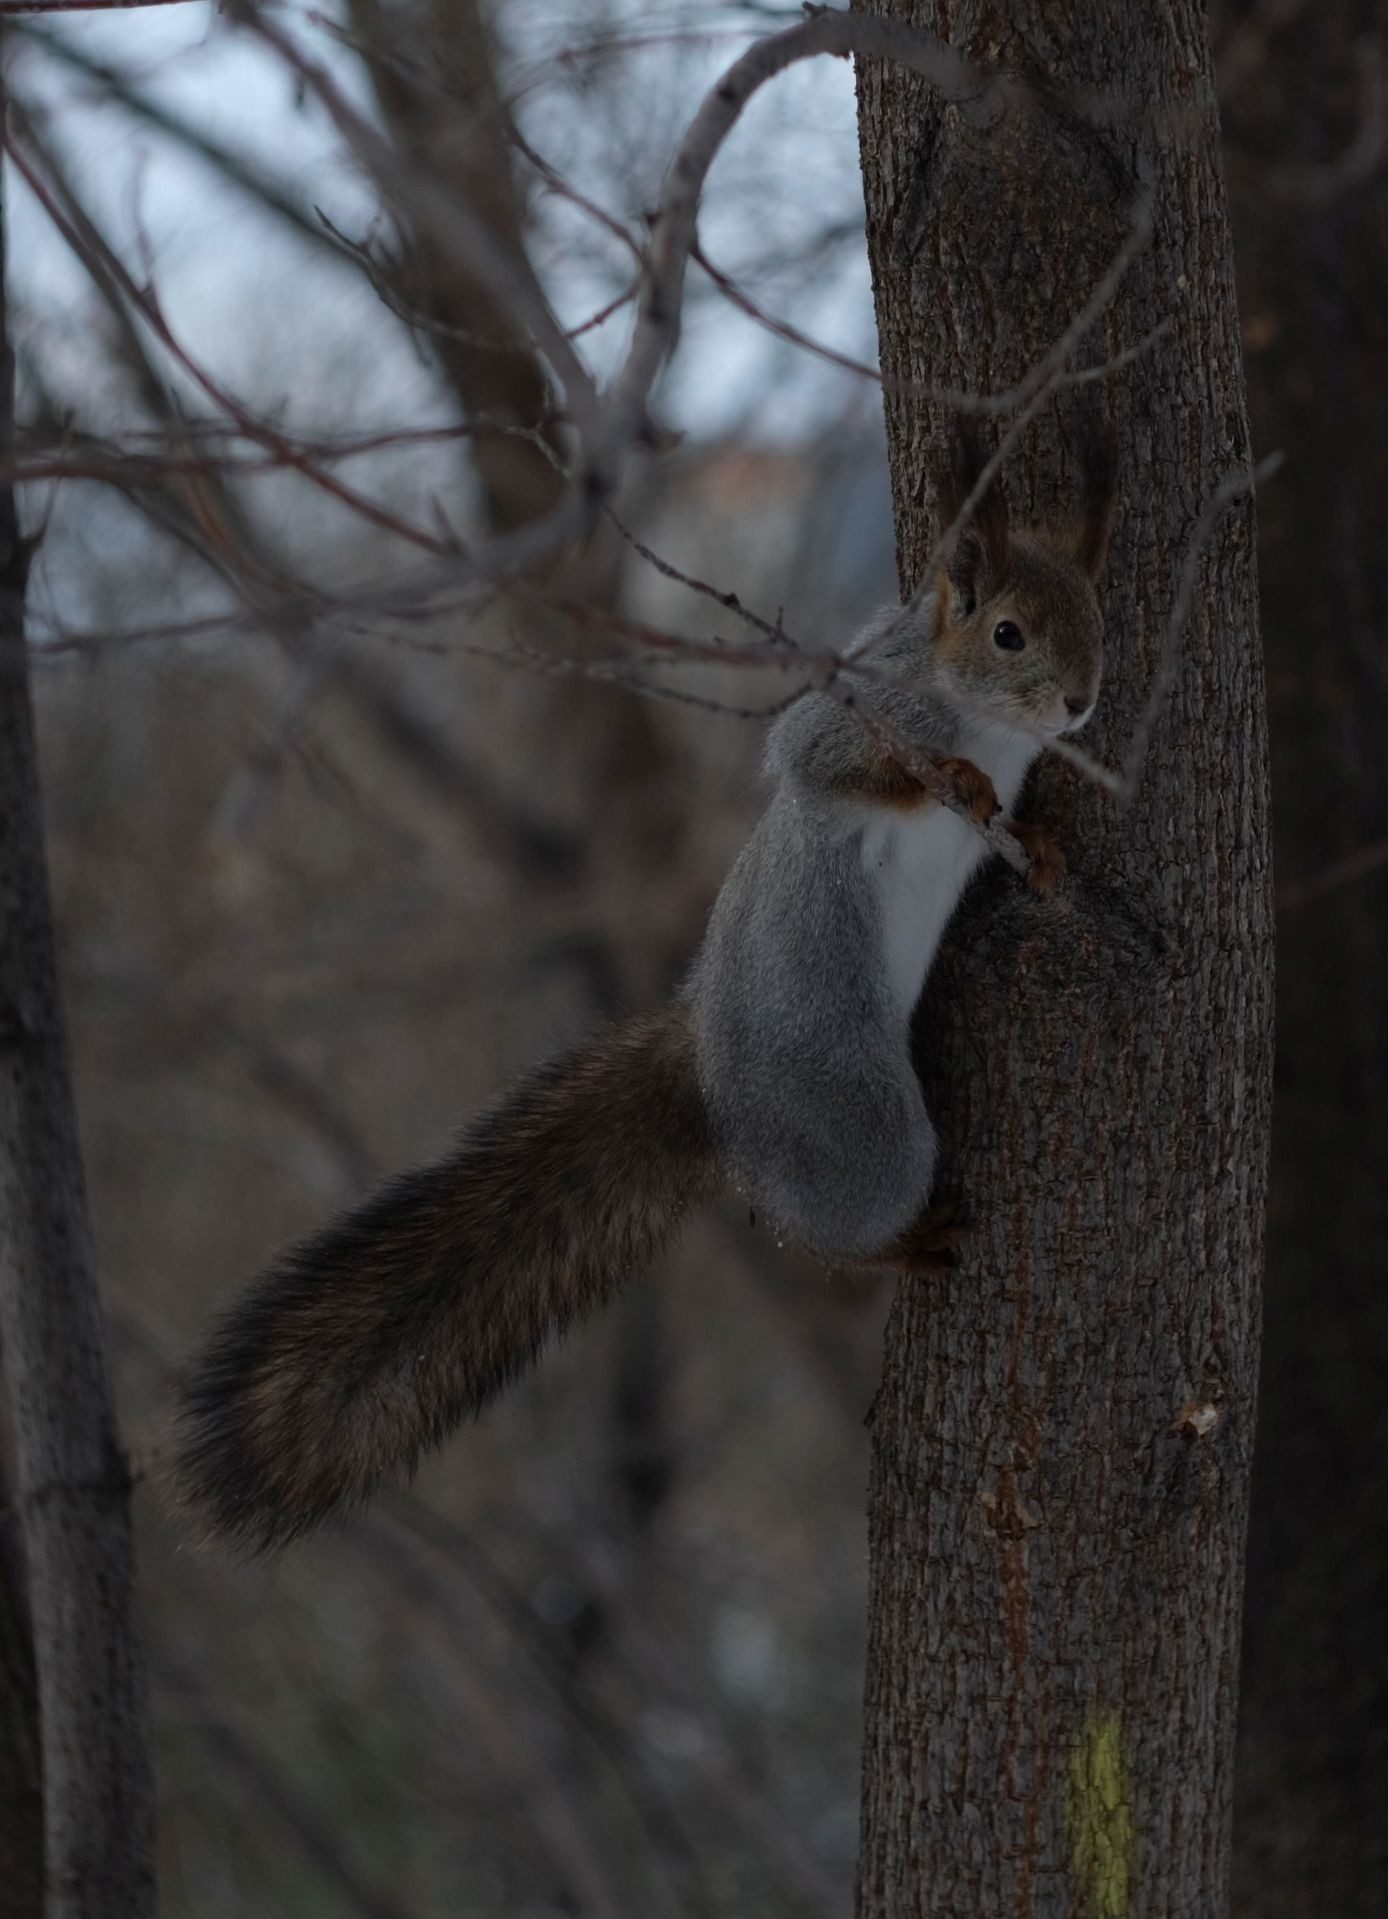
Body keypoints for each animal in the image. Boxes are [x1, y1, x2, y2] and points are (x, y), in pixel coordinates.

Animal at [170, 427, 1121, 1550]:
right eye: (1008, 633)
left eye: (1094, 615)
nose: (1079, 701)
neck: (982, 713)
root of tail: (706, 1065)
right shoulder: (852, 711)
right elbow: (831, 760)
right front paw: (954, 779)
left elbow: (1011, 836)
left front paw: (1042, 846)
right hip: (861, 1124)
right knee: (814, 1223)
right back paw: (902, 1243)